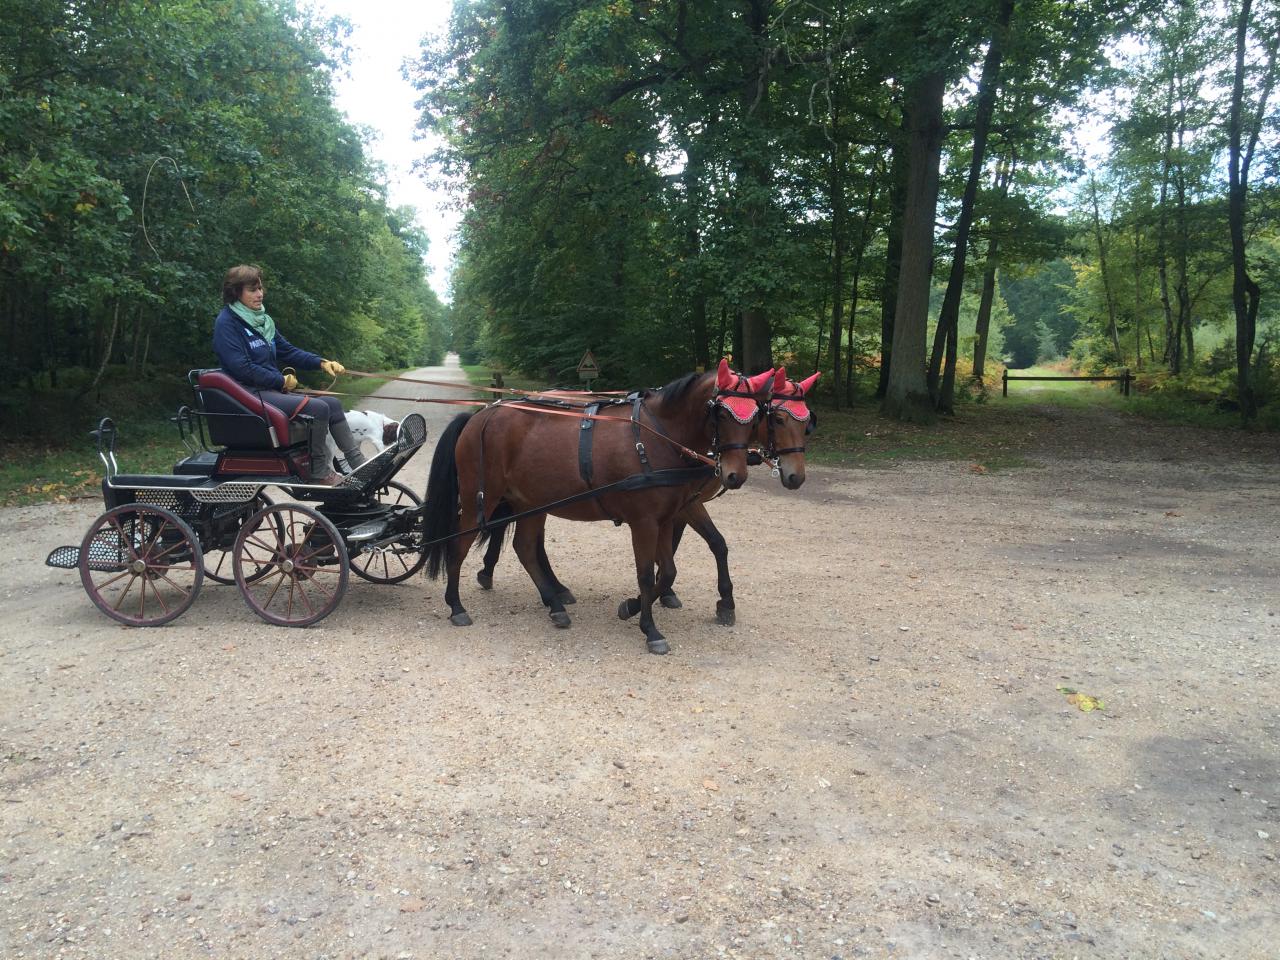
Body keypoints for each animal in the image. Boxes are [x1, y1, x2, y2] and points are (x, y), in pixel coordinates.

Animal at [421, 360, 774, 653]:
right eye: (721, 412)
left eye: (756, 415)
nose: (736, 474)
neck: (656, 436)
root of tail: (481, 414)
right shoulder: (644, 521)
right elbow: (646, 574)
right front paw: (650, 629)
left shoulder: (665, 518)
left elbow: (669, 570)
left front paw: (632, 607)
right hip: (479, 499)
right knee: (460, 546)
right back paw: (456, 605)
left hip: (529, 501)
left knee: (525, 548)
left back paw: (555, 604)